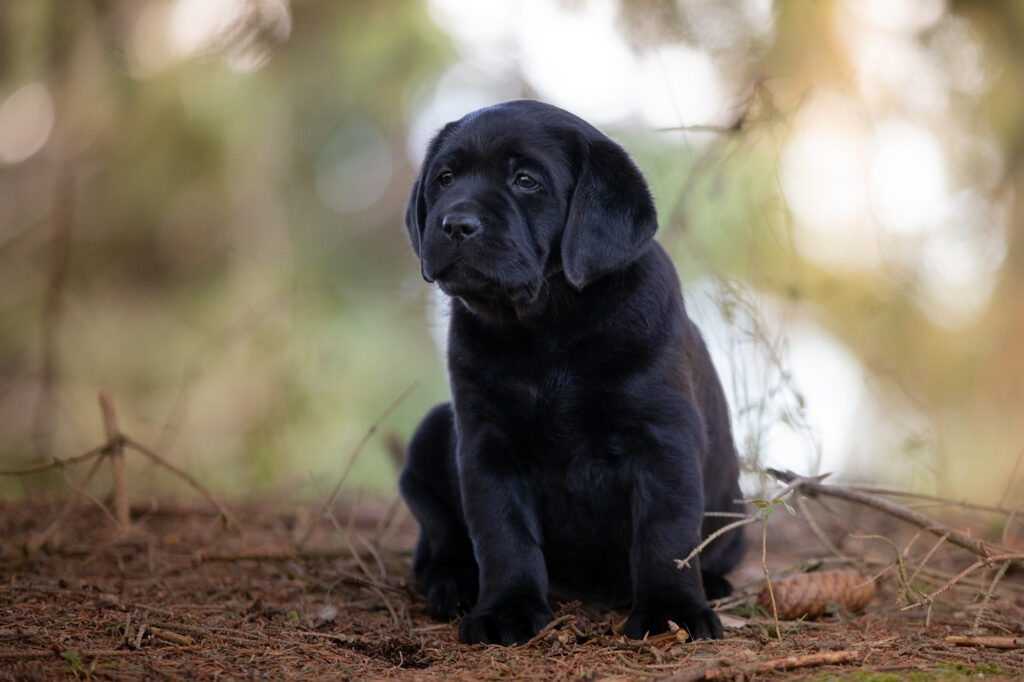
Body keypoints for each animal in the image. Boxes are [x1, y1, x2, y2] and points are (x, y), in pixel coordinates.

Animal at [397, 96, 745, 643]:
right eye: (445, 178)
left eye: (526, 181)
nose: (455, 224)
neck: (547, 329)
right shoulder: (486, 445)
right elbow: (503, 536)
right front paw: (505, 611)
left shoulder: (662, 439)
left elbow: (666, 535)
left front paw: (672, 612)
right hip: (432, 433)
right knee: (439, 543)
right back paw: (454, 585)